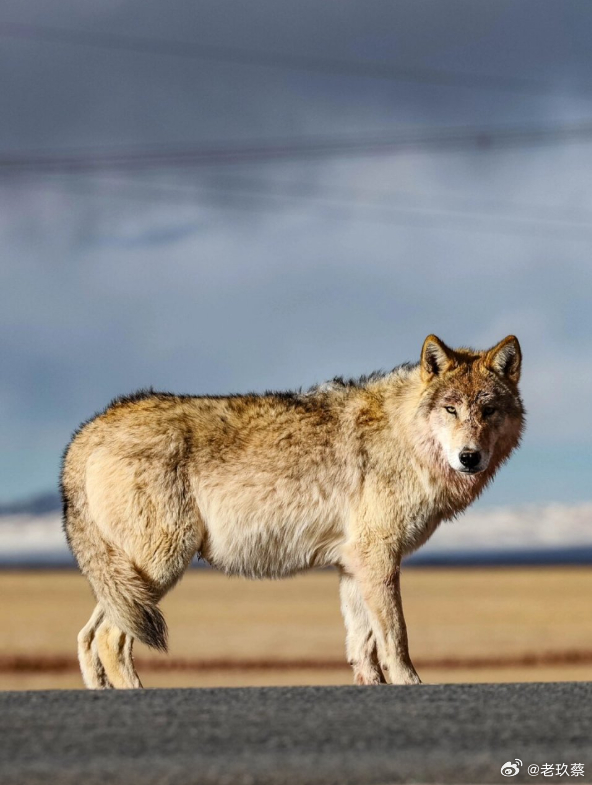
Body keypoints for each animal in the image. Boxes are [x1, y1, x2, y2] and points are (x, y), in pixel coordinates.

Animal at [60, 334, 524, 688]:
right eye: (451, 409)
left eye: (487, 410)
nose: (470, 457)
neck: (405, 437)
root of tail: (90, 428)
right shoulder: (378, 559)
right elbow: (395, 638)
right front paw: (411, 684)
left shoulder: (353, 565)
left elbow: (362, 647)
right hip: (161, 565)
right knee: (109, 639)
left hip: (131, 583)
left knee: (86, 637)